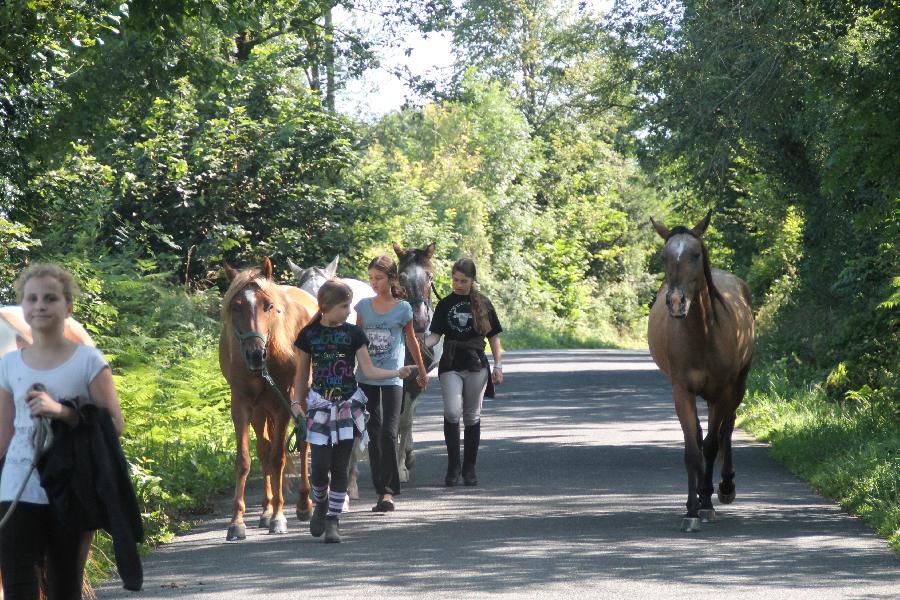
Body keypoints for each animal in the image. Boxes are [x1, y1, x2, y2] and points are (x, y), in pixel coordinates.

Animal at [218, 255, 316, 540]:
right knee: (263, 450)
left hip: (300, 400)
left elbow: (278, 458)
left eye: (269, 306)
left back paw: (304, 504)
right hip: (261, 410)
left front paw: (279, 518)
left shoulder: (283, 405)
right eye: (235, 307)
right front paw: (237, 521)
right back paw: (264, 510)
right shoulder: (241, 405)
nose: (254, 354)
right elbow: (245, 460)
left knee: (303, 443)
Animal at [648, 210, 752, 528]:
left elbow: (711, 445)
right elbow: (693, 449)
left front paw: (706, 503)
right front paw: (692, 509)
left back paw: (726, 486)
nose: (675, 302)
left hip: (739, 384)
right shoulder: (682, 391)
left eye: (695, 254)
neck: (703, 336)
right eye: (664, 256)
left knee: (727, 428)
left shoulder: (722, 392)